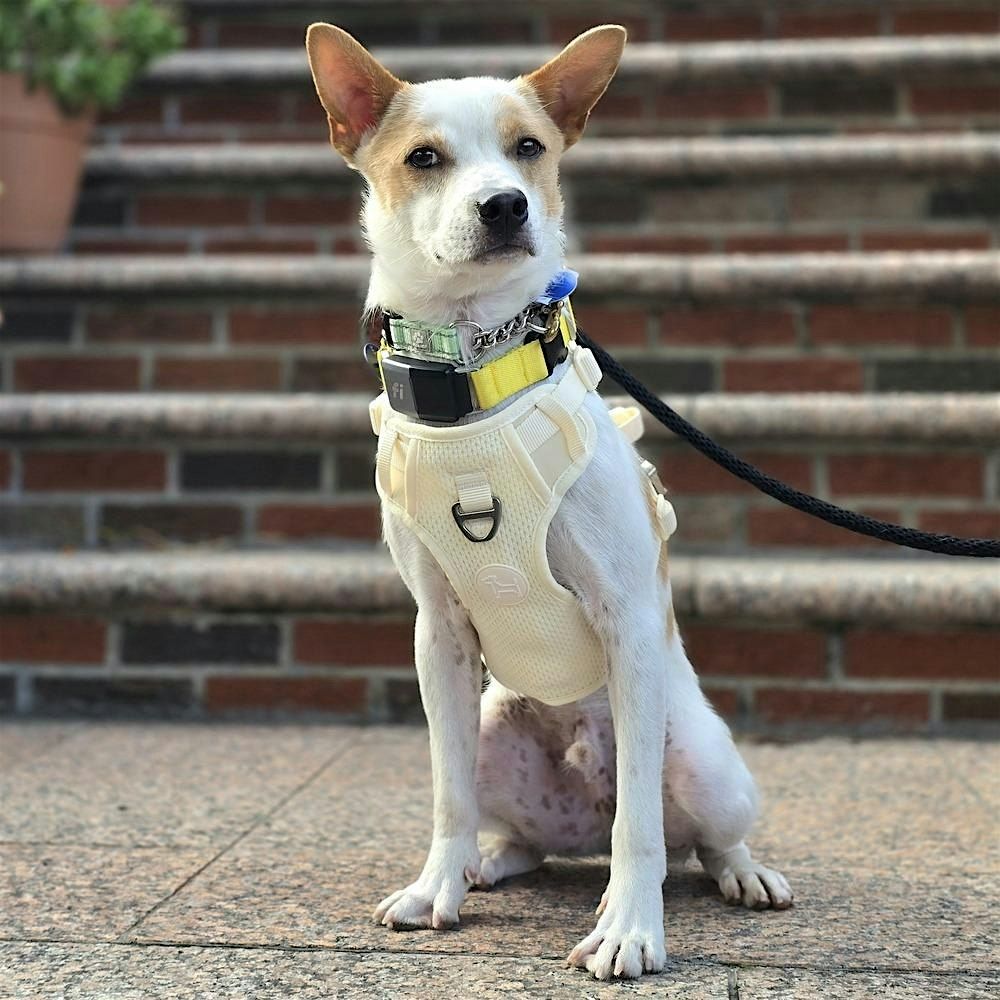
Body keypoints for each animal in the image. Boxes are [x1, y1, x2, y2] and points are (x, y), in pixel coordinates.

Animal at [304, 19, 788, 980]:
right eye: (424, 157)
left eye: (528, 148)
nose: (504, 206)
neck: (474, 378)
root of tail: (580, 816)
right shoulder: (438, 633)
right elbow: (447, 796)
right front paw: (436, 889)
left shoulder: (626, 617)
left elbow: (642, 826)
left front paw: (631, 930)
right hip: (495, 726)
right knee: (516, 830)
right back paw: (485, 866)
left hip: (705, 761)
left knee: (690, 834)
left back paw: (740, 873)